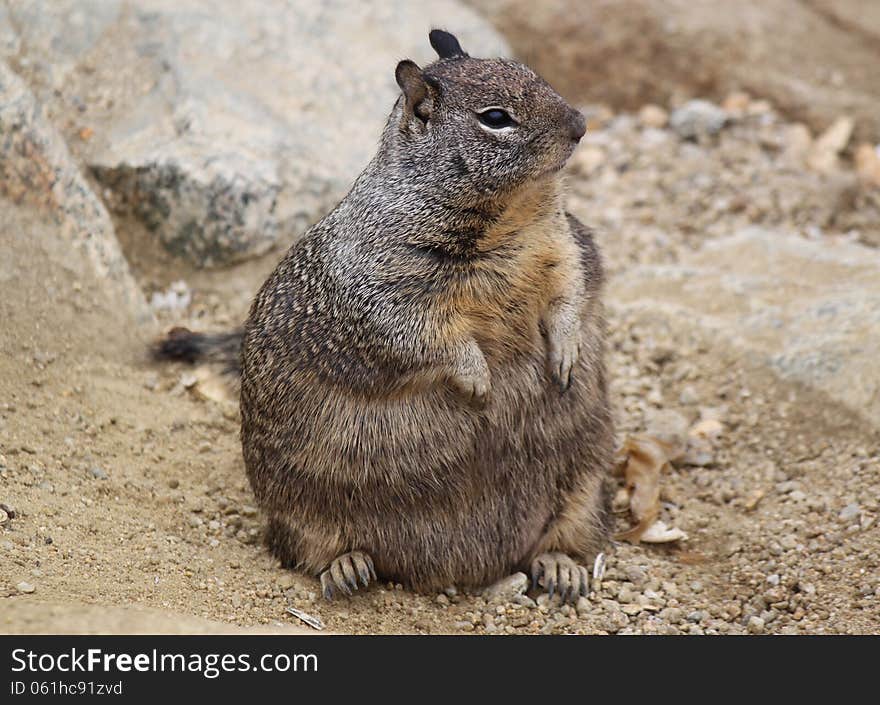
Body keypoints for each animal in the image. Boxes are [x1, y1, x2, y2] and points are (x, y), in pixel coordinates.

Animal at [158, 30, 612, 604]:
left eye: (536, 74)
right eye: (495, 117)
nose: (581, 124)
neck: (513, 214)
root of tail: (462, 569)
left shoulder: (564, 248)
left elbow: (570, 295)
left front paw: (566, 353)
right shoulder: (385, 296)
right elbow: (429, 338)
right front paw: (478, 381)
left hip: (587, 479)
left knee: (565, 535)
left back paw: (561, 567)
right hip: (297, 506)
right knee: (311, 549)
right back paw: (346, 568)